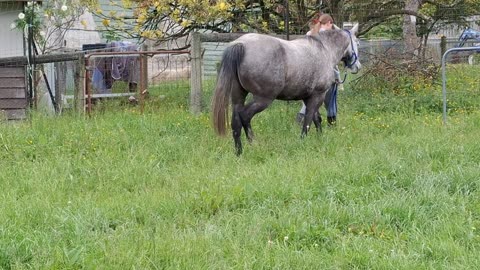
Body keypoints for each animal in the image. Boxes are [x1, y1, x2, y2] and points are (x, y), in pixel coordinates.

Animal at [212, 24, 362, 155]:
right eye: (357, 43)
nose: (358, 67)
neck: (324, 49)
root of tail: (241, 44)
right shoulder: (318, 96)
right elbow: (308, 121)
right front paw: (303, 142)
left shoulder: (309, 97)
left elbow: (316, 119)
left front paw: (320, 139)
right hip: (263, 99)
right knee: (245, 116)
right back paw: (253, 143)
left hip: (238, 98)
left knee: (236, 122)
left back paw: (239, 152)